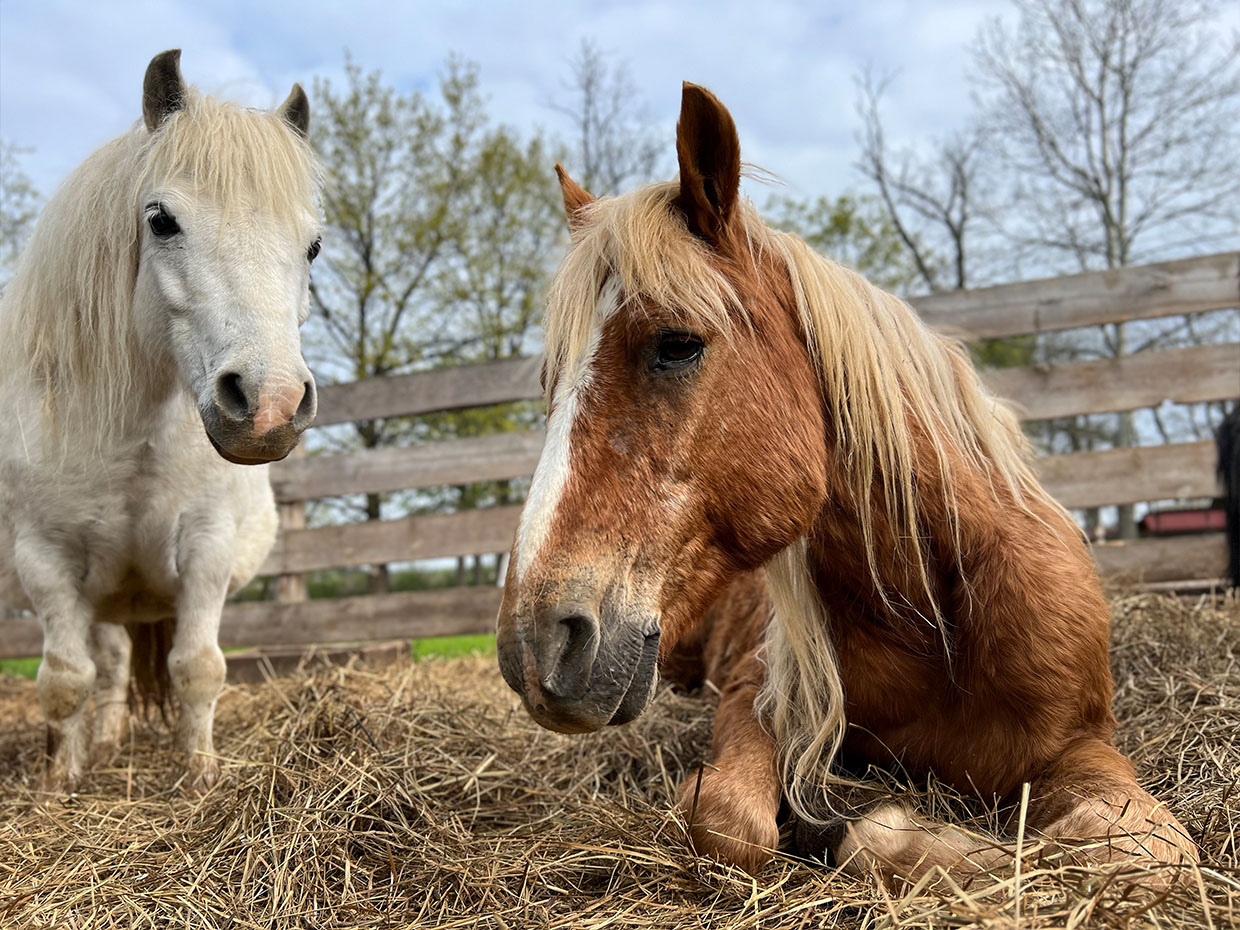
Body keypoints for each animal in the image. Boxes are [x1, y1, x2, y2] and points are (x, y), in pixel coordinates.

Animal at [0, 50, 324, 793]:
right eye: (161, 220)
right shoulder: (45, 562)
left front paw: (201, 775)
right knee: (108, 666)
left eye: (314, 246)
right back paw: (103, 743)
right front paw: (61, 784)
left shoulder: (206, 549)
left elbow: (197, 669)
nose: (269, 405)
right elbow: (64, 681)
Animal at [496, 83, 1200, 882]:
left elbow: (1134, 851)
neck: (934, 618)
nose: (535, 646)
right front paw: (865, 827)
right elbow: (731, 824)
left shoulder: (1083, 742)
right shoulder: (754, 700)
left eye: (677, 345)